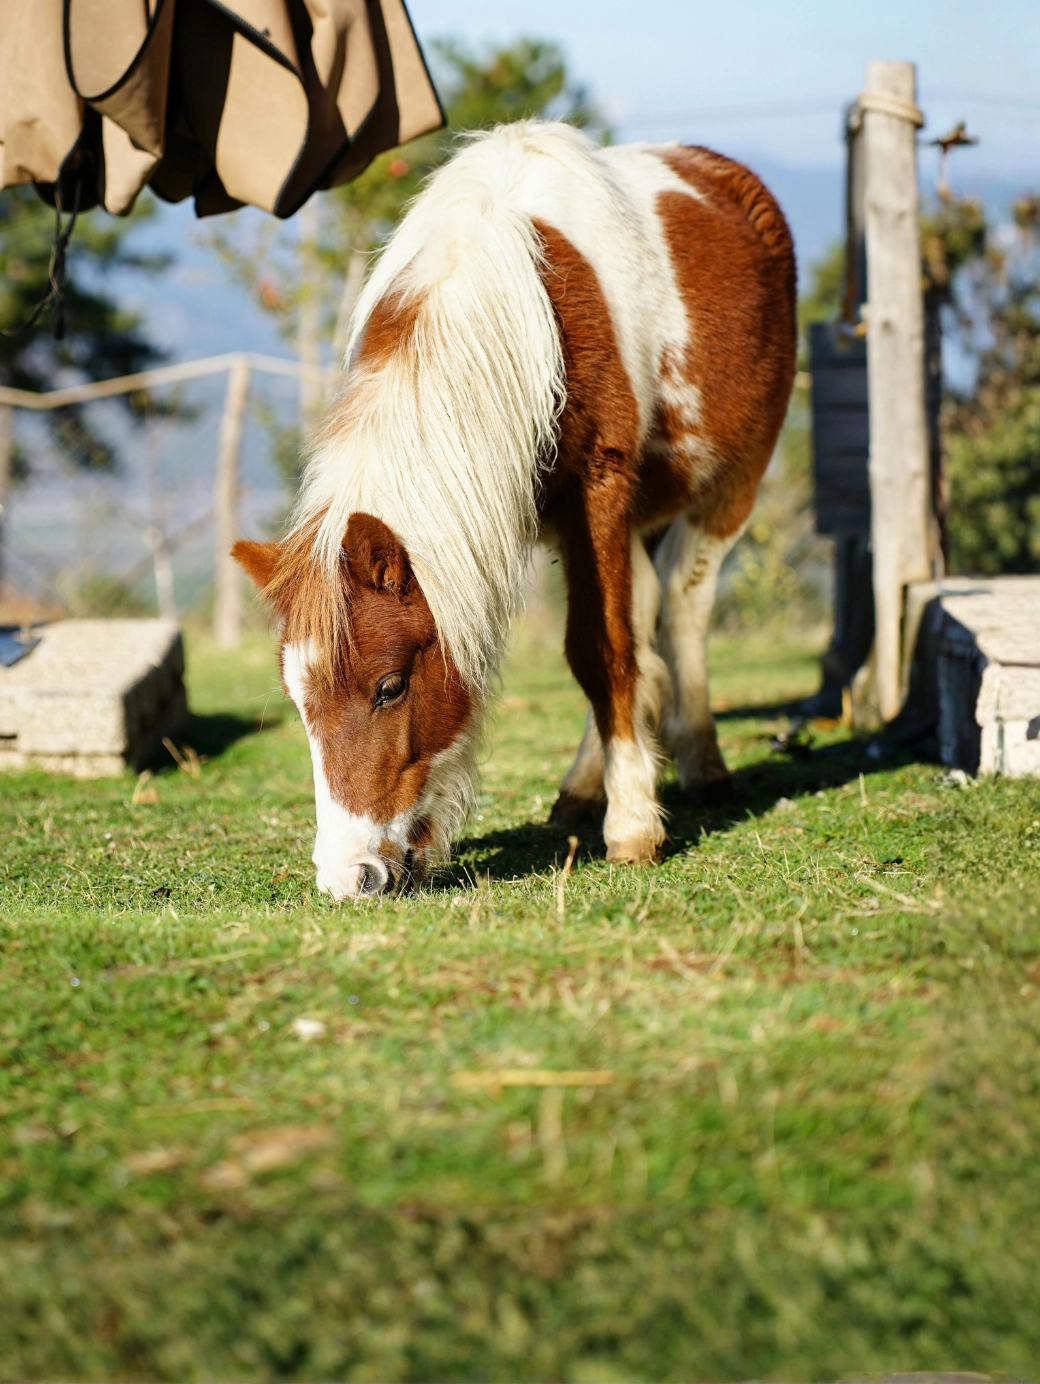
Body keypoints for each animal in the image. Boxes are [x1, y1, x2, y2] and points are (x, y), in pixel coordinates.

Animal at [233, 120, 796, 899]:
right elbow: (614, 642)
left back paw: (700, 765)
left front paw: (633, 826)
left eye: (389, 687)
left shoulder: (599, 488)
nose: (351, 877)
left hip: (732, 482)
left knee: (684, 604)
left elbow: (602, 650)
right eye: (298, 702)